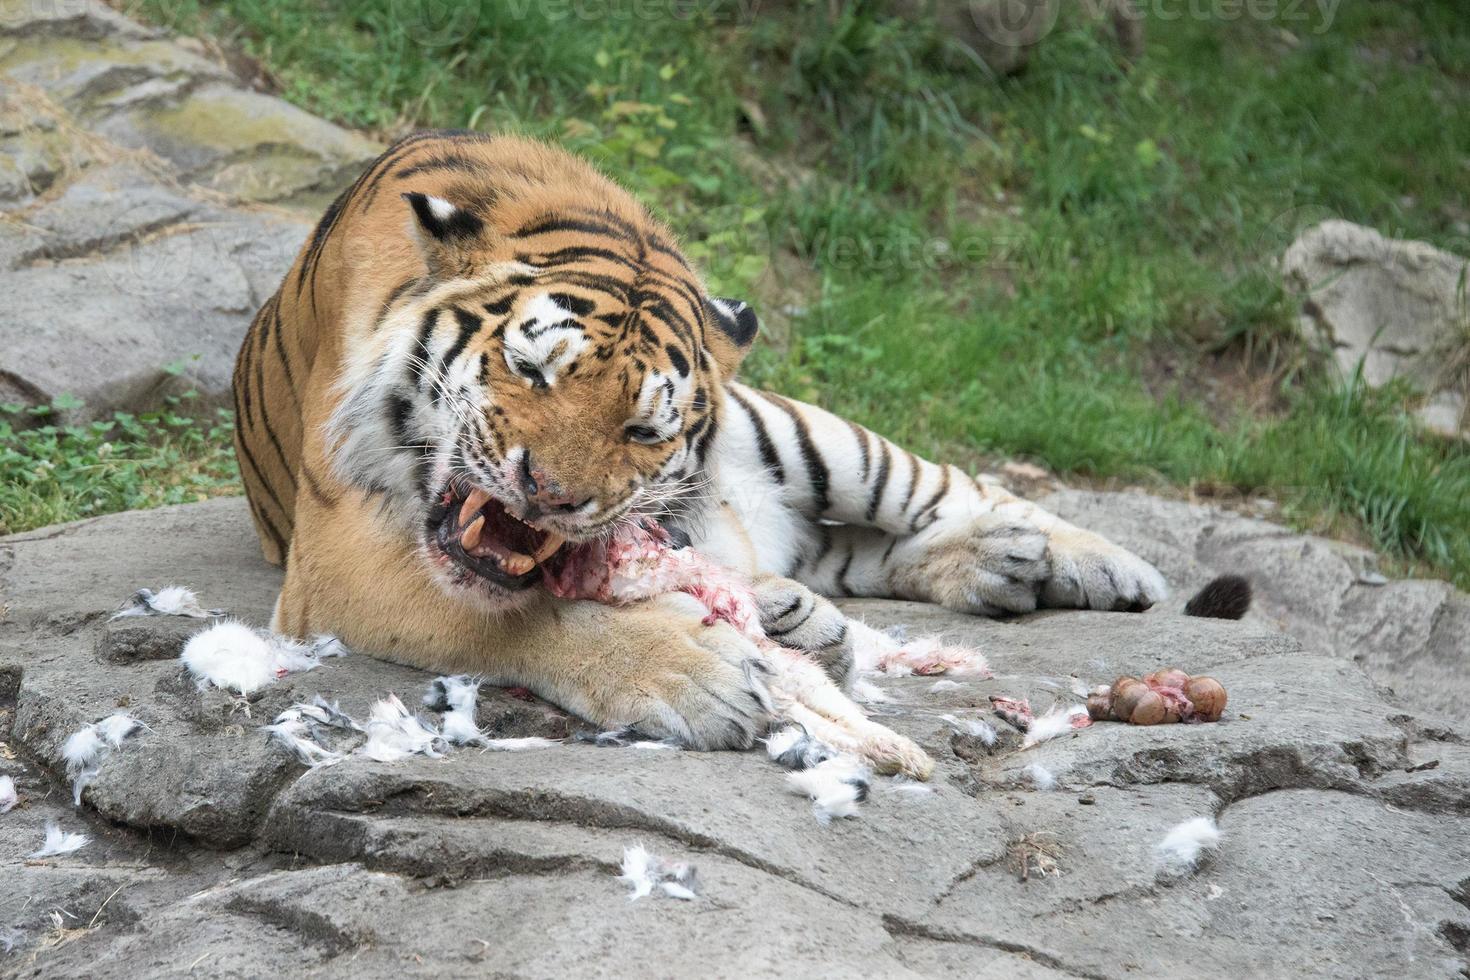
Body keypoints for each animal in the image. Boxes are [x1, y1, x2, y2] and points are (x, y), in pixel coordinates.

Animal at [235, 130, 1164, 752]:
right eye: (530, 369)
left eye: (644, 428)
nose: (549, 495)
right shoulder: (337, 559)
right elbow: (523, 617)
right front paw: (698, 676)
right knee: (852, 558)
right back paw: (964, 575)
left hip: (809, 435)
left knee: (947, 486)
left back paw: (1098, 564)